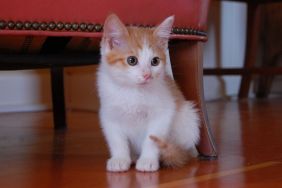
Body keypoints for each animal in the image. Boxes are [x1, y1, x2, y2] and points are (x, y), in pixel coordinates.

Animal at [98, 13, 199, 172]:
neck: (133, 91)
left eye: (155, 61)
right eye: (132, 60)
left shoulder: (163, 113)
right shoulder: (109, 114)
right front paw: (120, 159)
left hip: (189, 121)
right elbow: (117, 139)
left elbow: (152, 138)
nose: (147, 75)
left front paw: (148, 160)